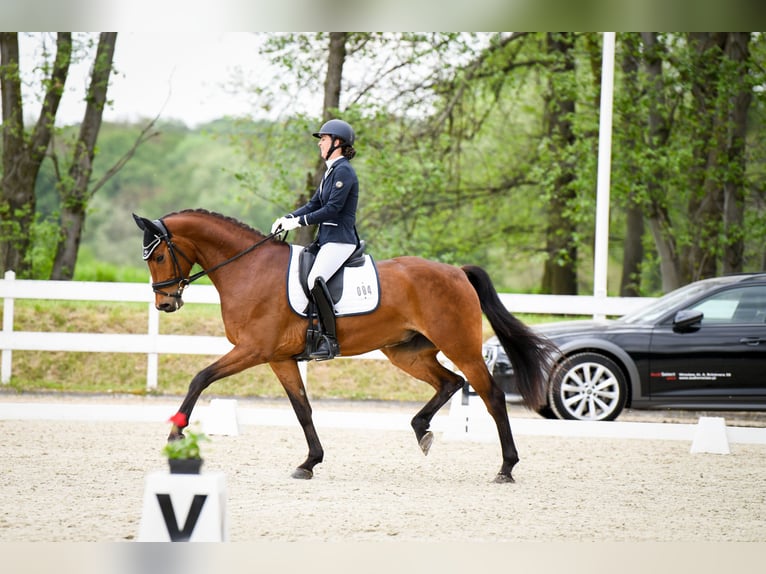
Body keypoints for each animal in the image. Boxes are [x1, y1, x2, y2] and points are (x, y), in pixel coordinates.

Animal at [133, 209, 558, 483]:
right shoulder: (279, 358)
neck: (248, 270)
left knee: (491, 396)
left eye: (159, 255)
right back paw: (422, 430)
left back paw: (506, 468)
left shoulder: (254, 350)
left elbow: (200, 377)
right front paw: (309, 462)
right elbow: (302, 410)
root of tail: (457, 272)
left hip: (460, 347)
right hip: (407, 352)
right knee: (449, 383)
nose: (165, 304)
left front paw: (176, 435)